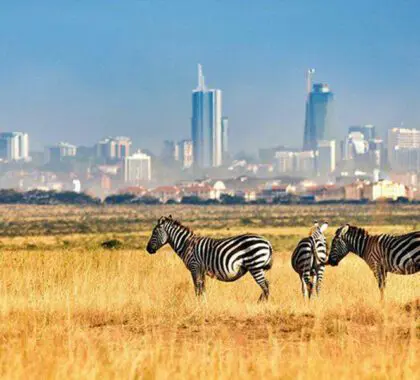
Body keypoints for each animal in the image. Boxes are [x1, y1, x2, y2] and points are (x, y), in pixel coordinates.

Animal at [146, 215, 274, 302]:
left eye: (154, 232)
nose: (148, 249)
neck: (186, 244)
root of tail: (267, 242)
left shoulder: (194, 267)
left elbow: (197, 287)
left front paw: (198, 304)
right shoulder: (201, 270)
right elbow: (202, 288)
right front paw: (204, 302)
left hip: (255, 266)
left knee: (265, 286)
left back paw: (261, 304)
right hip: (258, 267)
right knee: (267, 285)